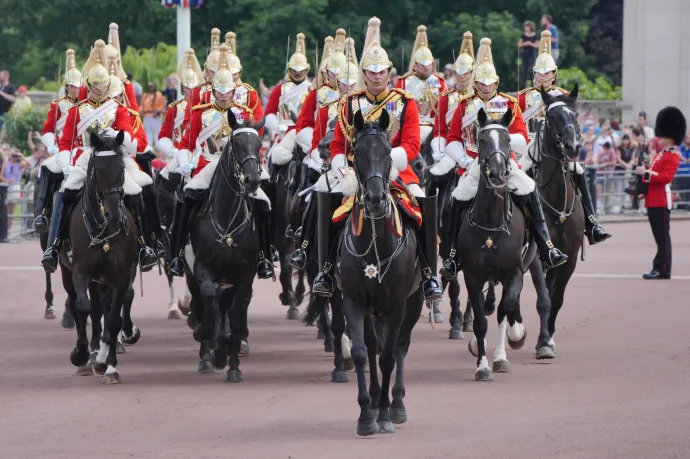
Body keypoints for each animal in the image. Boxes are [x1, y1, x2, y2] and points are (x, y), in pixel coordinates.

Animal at [59, 132, 139, 384]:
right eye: (98, 170)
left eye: (121, 168)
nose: (113, 214)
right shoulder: (80, 272)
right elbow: (83, 307)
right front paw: (81, 354)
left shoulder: (121, 276)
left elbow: (112, 318)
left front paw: (110, 366)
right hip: (68, 274)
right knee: (77, 304)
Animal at [184, 109, 262, 382]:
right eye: (236, 144)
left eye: (259, 144)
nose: (252, 180)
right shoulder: (201, 268)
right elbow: (208, 298)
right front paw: (206, 336)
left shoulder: (244, 276)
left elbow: (236, 317)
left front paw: (233, 365)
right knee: (203, 302)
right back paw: (206, 354)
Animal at [334, 109, 424, 436]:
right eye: (357, 153)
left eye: (387, 152)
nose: (374, 199)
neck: (374, 241)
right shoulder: (353, 301)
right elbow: (363, 352)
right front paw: (366, 415)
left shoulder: (397, 304)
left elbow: (388, 357)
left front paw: (385, 415)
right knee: (374, 346)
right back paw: (374, 400)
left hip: (414, 301)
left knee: (399, 347)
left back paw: (395, 404)